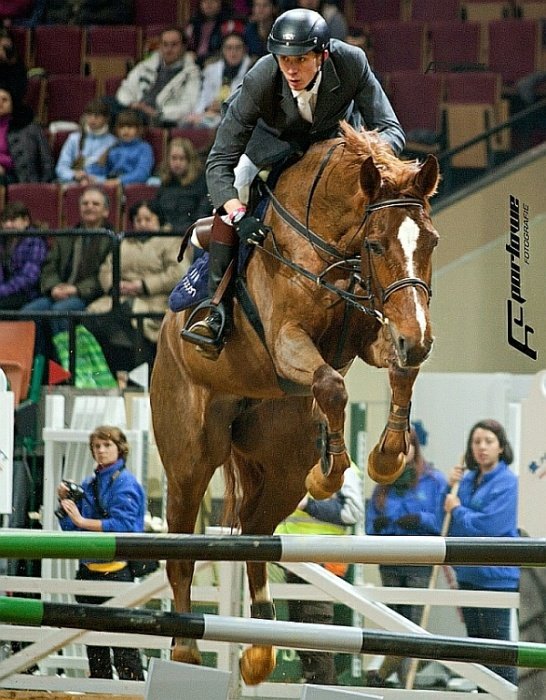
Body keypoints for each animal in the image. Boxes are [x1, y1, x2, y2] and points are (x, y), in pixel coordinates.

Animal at [150, 122, 440, 685]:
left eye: (432, 242)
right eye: (377, 243)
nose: (419, 339)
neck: (334, 249)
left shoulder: (379, 332)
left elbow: (399, 371)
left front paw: (385, 457)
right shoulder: (287, 342)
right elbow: (332, 387)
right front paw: (331, 474)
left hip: (282, 465)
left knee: (258, 530)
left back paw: (261, 646)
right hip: (190, 460)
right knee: (180, 552)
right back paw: (186, 649)